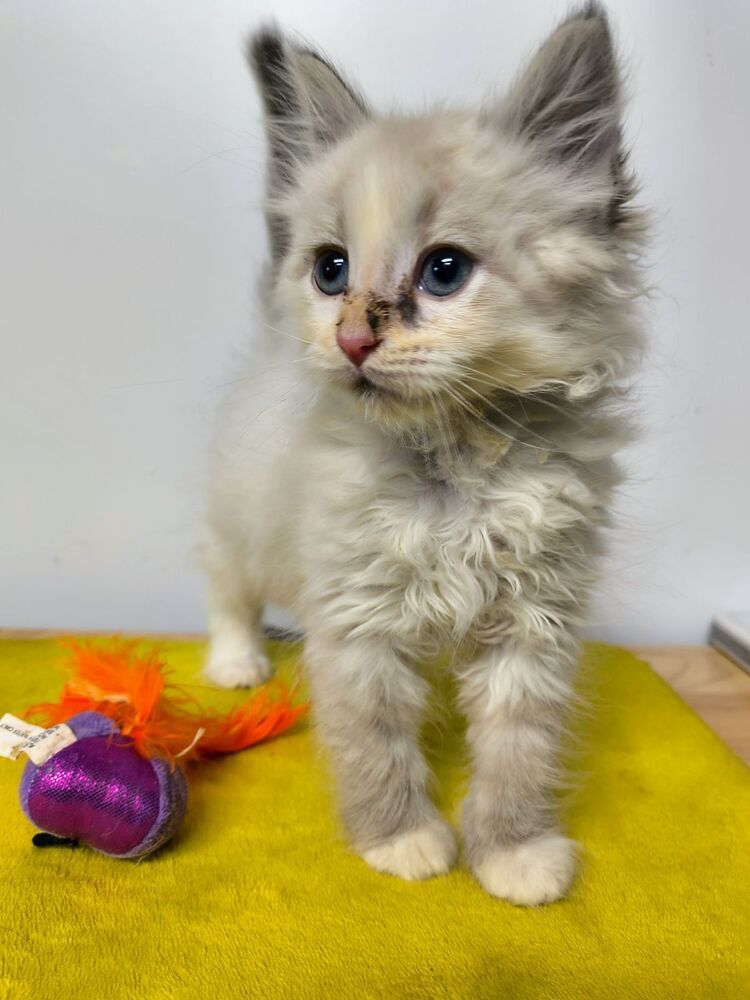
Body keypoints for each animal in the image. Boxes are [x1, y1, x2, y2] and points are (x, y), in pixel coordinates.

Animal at [204, 1, 648, 908]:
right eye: (331, 269)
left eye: (444, 271)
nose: (349, 339)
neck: (455, 464)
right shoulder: (355, 618)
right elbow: (375, 741)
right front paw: (400, 839)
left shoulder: (534, 623)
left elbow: (519, 752)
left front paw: (513, 853)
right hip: (245, 517)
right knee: (226, 580)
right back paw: (236, 659)